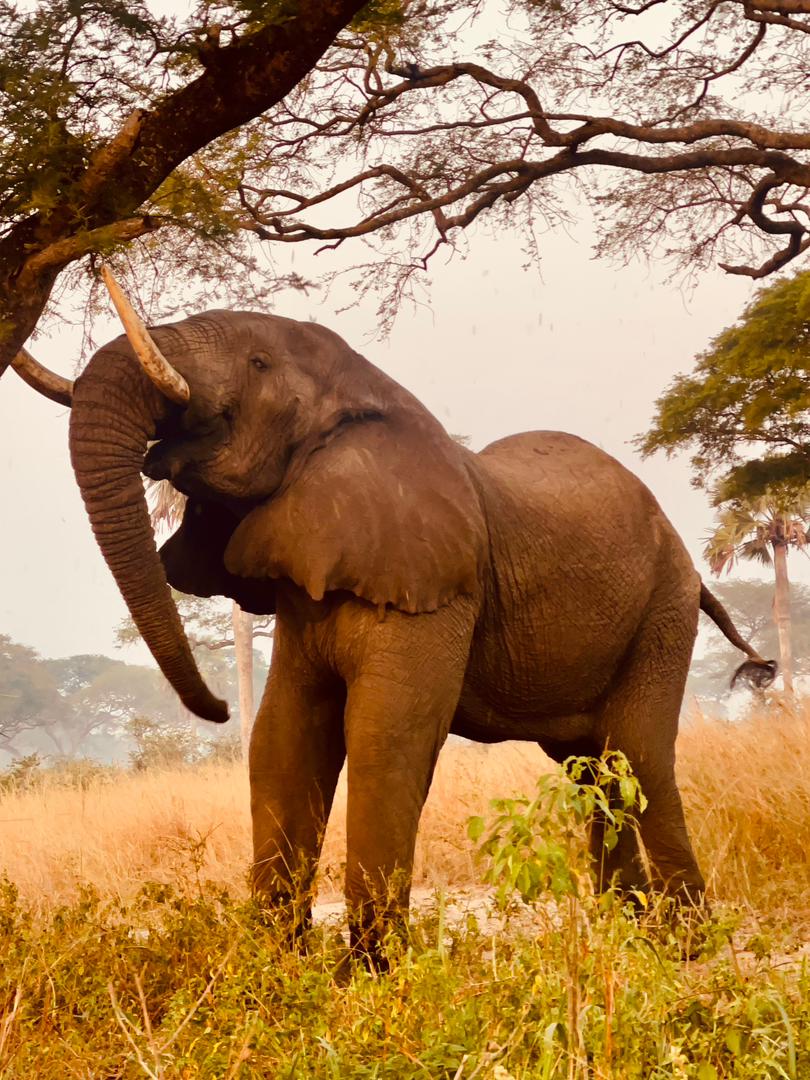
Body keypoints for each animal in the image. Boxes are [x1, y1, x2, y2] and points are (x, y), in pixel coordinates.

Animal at [59, 278, 774, 956]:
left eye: (257, 363)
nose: (217, 707)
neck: (361, 397)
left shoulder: (438, 583)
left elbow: (387, 736)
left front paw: (372, 974)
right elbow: (283, 740)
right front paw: (276, 966)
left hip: (663, 608)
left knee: (637, 757)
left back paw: (686, 943)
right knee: (589, 769)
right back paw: (632, 935)